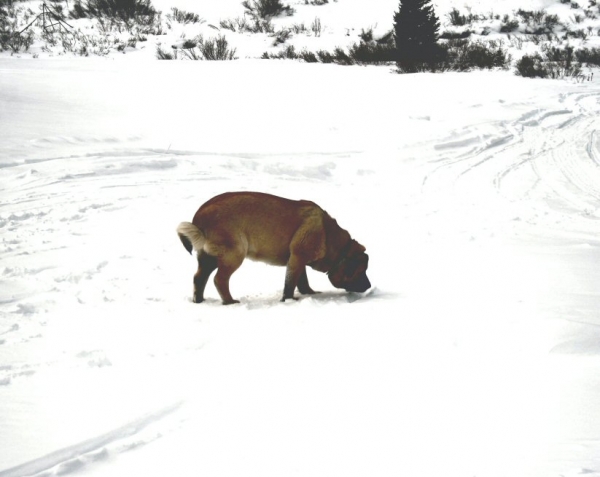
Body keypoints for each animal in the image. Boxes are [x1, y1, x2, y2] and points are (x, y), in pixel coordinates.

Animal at [176, 192, 368, 304]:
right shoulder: (297, 258)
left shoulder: (298, 259)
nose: (369, 285)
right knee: (219, 280)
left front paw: (309, 293)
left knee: (199, 278)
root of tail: (199, 216)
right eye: (361, 271)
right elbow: (290, 284)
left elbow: (302, 281)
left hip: (208, 259)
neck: (328, 235)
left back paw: (199, 300)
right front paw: (289, 300)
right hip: (234, 254)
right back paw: (229, 301)